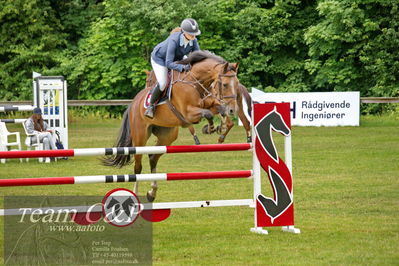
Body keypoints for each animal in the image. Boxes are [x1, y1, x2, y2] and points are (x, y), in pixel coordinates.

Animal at [104, 50, 241, 202]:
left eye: (237, 83)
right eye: (225, 85)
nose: (233, 110)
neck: (194, 82)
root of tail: (134, 103)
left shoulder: (210, 103)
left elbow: (219, 110)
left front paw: (220, 128)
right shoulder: (188, 113)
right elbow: (208, 114)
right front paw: (210, 128)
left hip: (167, 136)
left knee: (153, 158)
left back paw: (152, 193)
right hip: (140, 137)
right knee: (137, 167)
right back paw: (136, 194)